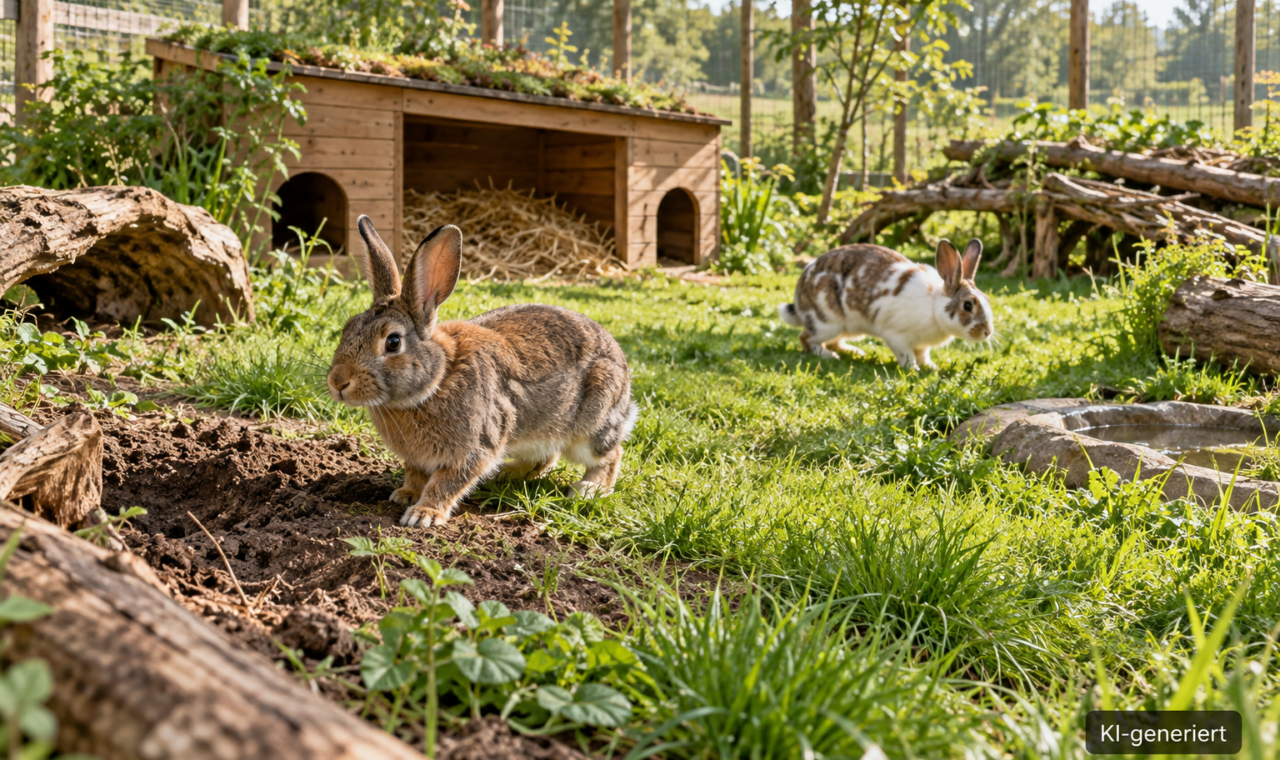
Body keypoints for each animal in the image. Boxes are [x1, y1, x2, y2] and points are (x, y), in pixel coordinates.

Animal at [327, 216, 637, 528]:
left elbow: (447, 482)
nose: (338, 382)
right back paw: (507, 473)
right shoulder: (415, 458)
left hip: (593, 424)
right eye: (348, 328)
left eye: (393, 342)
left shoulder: (477, 445)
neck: (438, 381)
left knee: (611, 453)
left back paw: (589, 489)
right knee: (546, 458)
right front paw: (406, 494)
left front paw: (424, 514)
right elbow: (415, 473)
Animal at [777, 238, 993, 370]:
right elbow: (907, 355)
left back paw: (855, 351)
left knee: (834, 341)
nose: (987, 332)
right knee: (807, 339)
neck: (933, 308)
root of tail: (799, 299)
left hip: (846, 328)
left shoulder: (922, 345)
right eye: (968, 306)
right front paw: (913, 369)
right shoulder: (896, 336)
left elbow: (923, 354)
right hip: (827, 323)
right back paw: (828, 355)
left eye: (987, 299)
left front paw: (930, 367)